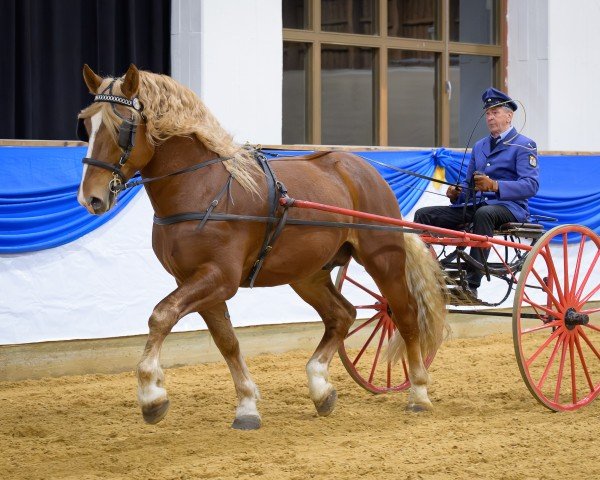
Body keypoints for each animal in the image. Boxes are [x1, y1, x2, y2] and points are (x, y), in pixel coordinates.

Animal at [76, 62, 446, 430]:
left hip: (382, 259)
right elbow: (226, 341)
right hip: (307, 273)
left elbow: (161, 315)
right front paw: (247, 405)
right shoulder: (195, 281)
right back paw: (321, 388)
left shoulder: (219, 277)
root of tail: (361, 168)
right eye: (87, 124)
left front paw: (152, 394)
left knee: (405, 316)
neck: (202, 187)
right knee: (342, 315)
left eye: (123, 127)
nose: (90, 198)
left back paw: (418, 393)